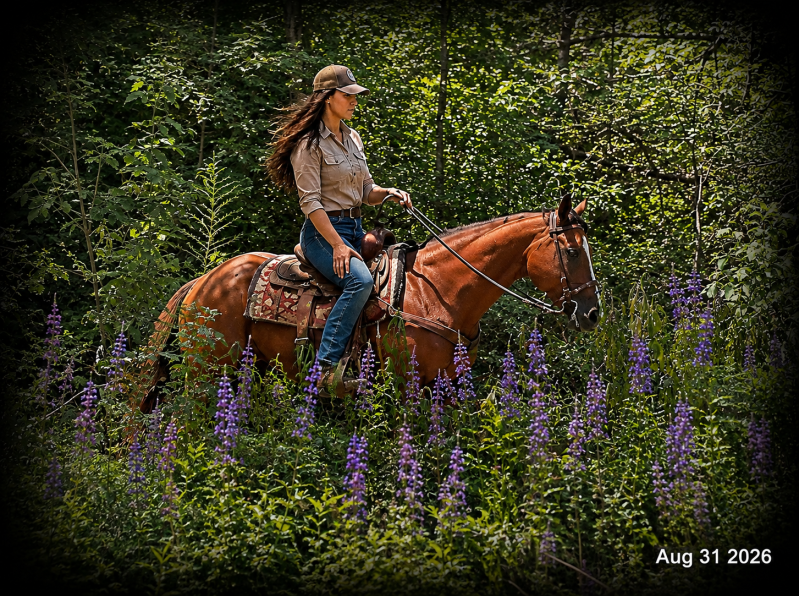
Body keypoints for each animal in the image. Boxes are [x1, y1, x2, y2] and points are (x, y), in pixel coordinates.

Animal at [139, 194, 599, 412]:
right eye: (572, 252)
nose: (592, 314)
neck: (437, 291)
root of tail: (202, 282)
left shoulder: (448, 385)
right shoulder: (408, 383)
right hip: (206, 371)